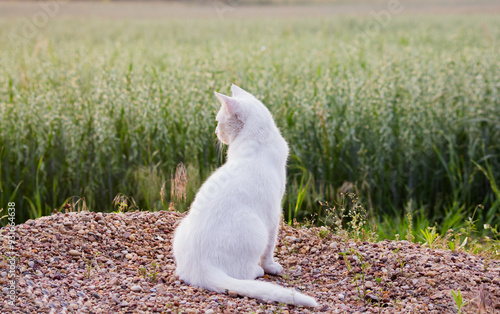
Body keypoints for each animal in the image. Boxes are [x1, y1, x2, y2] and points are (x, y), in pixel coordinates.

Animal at [172, 83, 316, 306]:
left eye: (217, 121)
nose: (215, 131)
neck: (257, 139)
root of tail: (200, 269)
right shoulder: (274, 214)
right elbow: (270, 248)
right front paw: (271, 267)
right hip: (256, 228)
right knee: (243, 273)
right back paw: (257, 271)